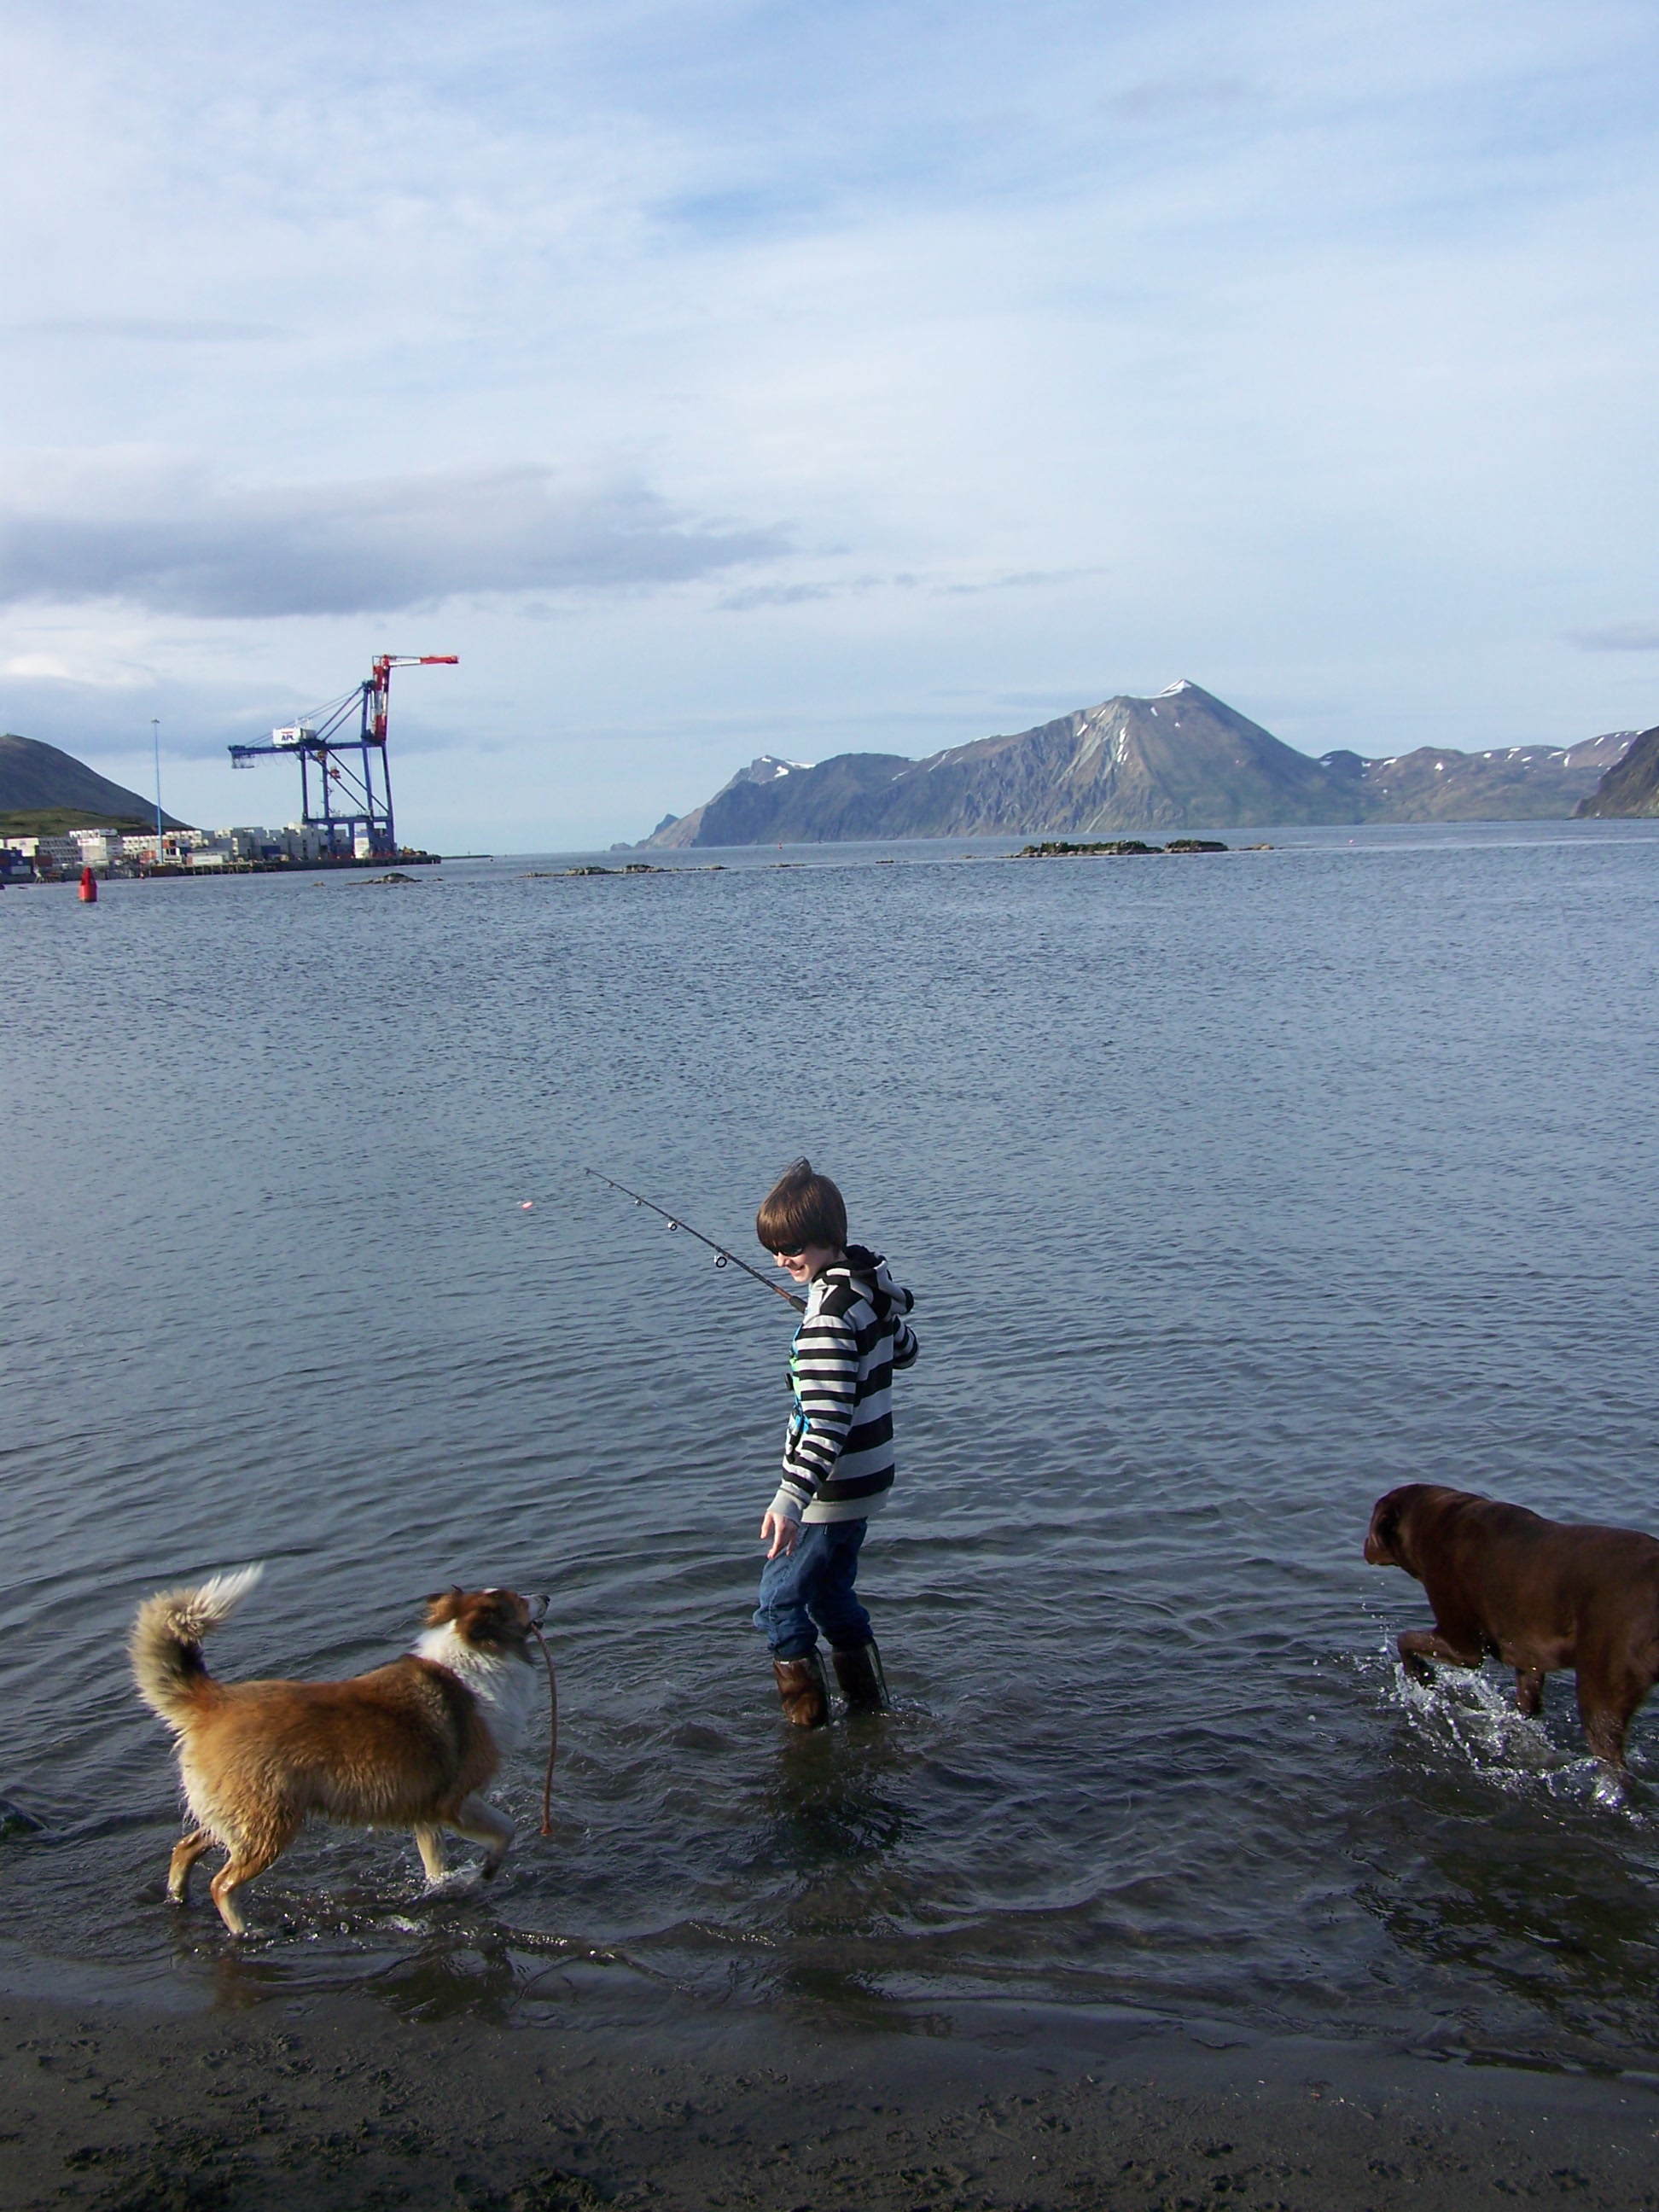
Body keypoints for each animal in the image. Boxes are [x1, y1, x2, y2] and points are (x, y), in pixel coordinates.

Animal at [131, 1575, 553, 1937]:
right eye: (518, 1600)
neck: (474, 1657)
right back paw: (245, 1931)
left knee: (184, 1848)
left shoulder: (424, 1810)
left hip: (239, 1818)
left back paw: (177, 1898)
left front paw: (443, 1887)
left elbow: (435, 1862)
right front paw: (486, 1872)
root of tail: (216, 1703)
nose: (546, 1596)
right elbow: (505, 1830)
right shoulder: (455, 1802)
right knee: (222, 1884)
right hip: (269, 1826)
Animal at [1362, 1486, 1659, 1778]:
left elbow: (1405, 1639)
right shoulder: (1529, 1657)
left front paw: (1421, 1673)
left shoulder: (1464, 1647)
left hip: (1601, 1687)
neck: (1433, 1521)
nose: (1364, 1545)